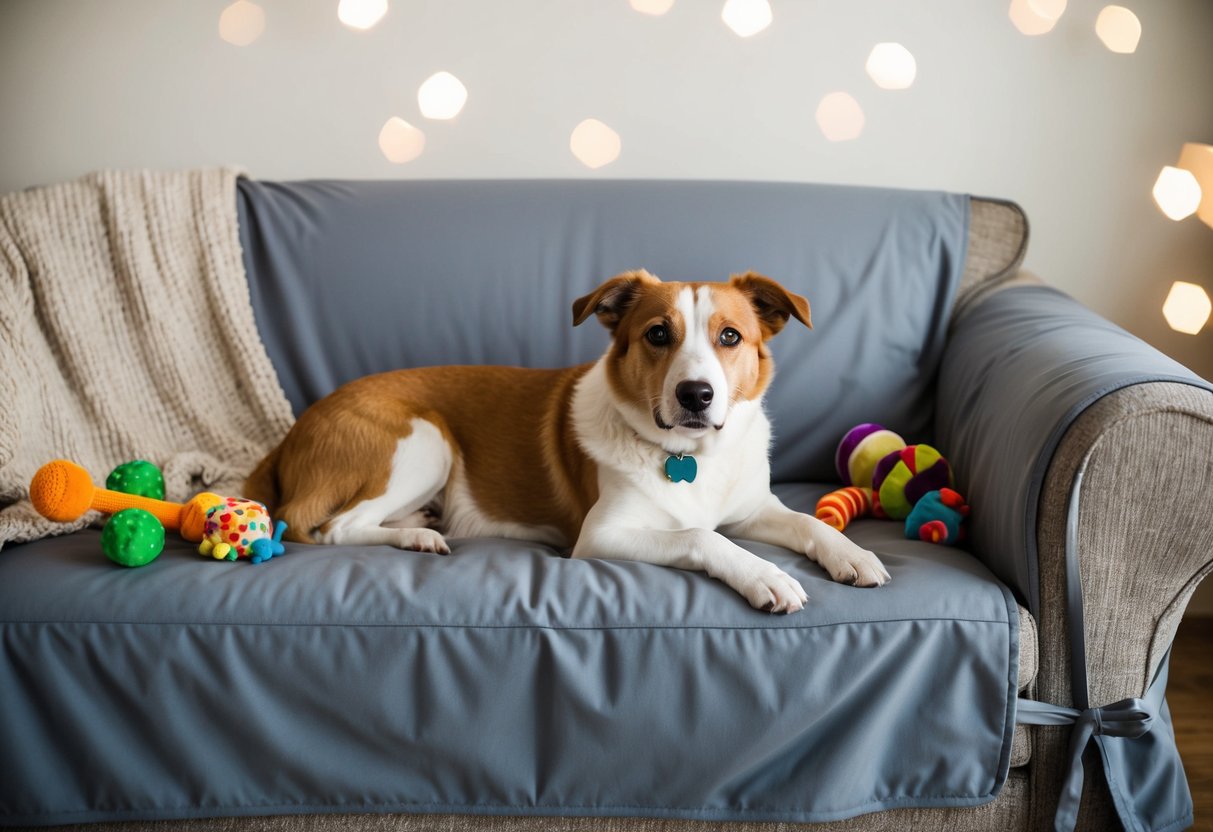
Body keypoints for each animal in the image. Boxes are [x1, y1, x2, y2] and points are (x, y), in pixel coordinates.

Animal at [248, 271, 892, 613]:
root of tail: (294, 432)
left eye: (730, 336)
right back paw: (416, 537)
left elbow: (807, 522)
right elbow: (699, 537)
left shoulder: (755, 508)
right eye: (658, 335)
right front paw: (765, 575)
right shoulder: (602, 535)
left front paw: (853, 554)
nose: (695, 395)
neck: (688, 457)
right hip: (425, 439)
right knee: (332, 527)